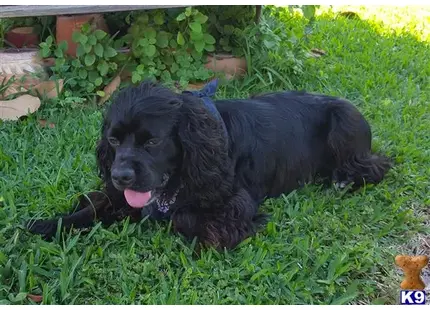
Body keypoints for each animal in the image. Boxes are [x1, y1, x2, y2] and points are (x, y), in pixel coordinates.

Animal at [27, 80, 390, 249]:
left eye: (152, 142)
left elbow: (186, 216)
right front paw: (48, 224)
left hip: (344, 121)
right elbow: (95, 206)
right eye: (114, 141)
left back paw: (344, 179)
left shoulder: (235, 205)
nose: (120, 176)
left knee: (376, 165)